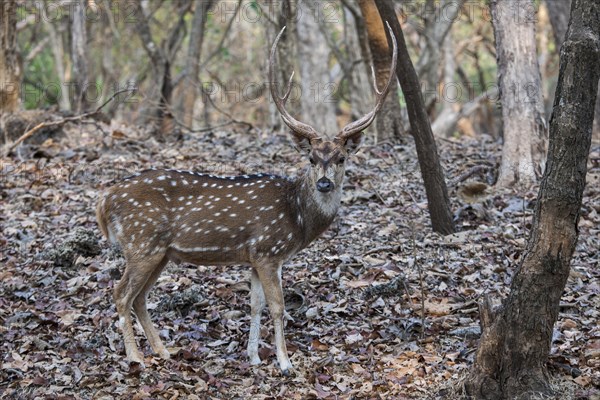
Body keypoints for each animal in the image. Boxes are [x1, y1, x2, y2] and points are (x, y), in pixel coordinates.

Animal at [97, 25, 398, 376]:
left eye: (341, 158)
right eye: (310, 158)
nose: (324, 183)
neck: (297, 218)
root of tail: (105, 200)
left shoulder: (254, 257)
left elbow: (255, 305)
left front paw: (254, 356)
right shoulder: (268, 251)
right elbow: (278, 307)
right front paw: (284, 362)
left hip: (160, 253)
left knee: (140, 297)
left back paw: (164, 351)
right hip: (141, 242)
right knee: (121, 293)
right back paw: (135, 358)